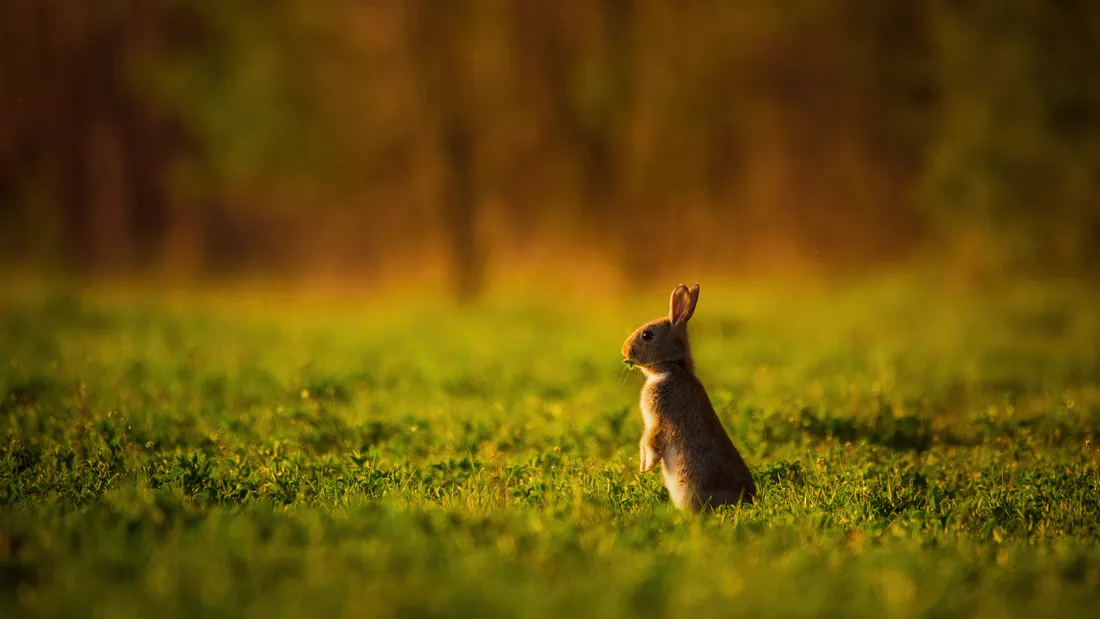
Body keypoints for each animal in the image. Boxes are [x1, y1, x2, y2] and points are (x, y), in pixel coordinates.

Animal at [621, 283, 755, 511]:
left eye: (647, 335)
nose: (624, 351)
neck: (673, 367)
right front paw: (643, 467)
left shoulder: (659, 418)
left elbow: (651, 439)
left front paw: (647, 467)